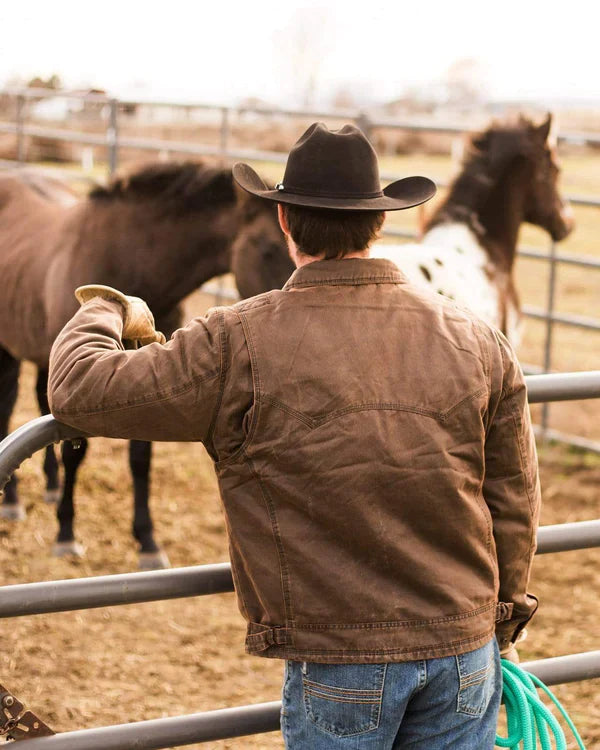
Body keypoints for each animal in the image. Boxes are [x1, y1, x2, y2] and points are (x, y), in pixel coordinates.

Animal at [0, 162, 290, 568]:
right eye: (267, 248)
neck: (130, 263)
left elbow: (140, 460)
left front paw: (148, 542)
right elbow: (76, 454)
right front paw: (66, 534)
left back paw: (52, 486)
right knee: (8, 409)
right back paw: (12, 500)